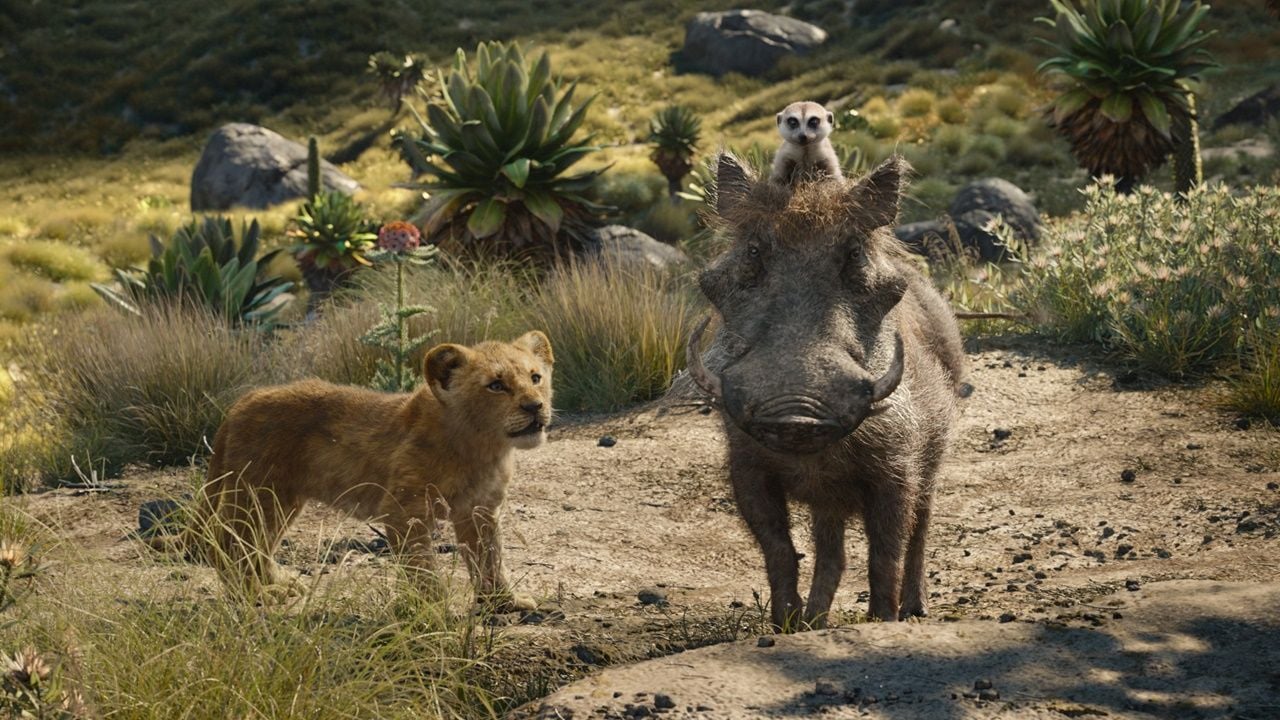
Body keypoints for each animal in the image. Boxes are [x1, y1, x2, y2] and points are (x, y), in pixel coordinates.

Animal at [173, 331, 554, 611]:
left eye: (535, 377)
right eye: (496, 385)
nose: (535, 406)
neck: (483, 447)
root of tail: (240, 403)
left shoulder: (480, 511)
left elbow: (490, 558)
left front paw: (503, 602)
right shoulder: (404, 511)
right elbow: (422, 568)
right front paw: (434, 611)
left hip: (281, 500)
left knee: (257, 544)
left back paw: (279, 582)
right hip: (258, 493)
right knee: (228, 543)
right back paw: (258, 594)